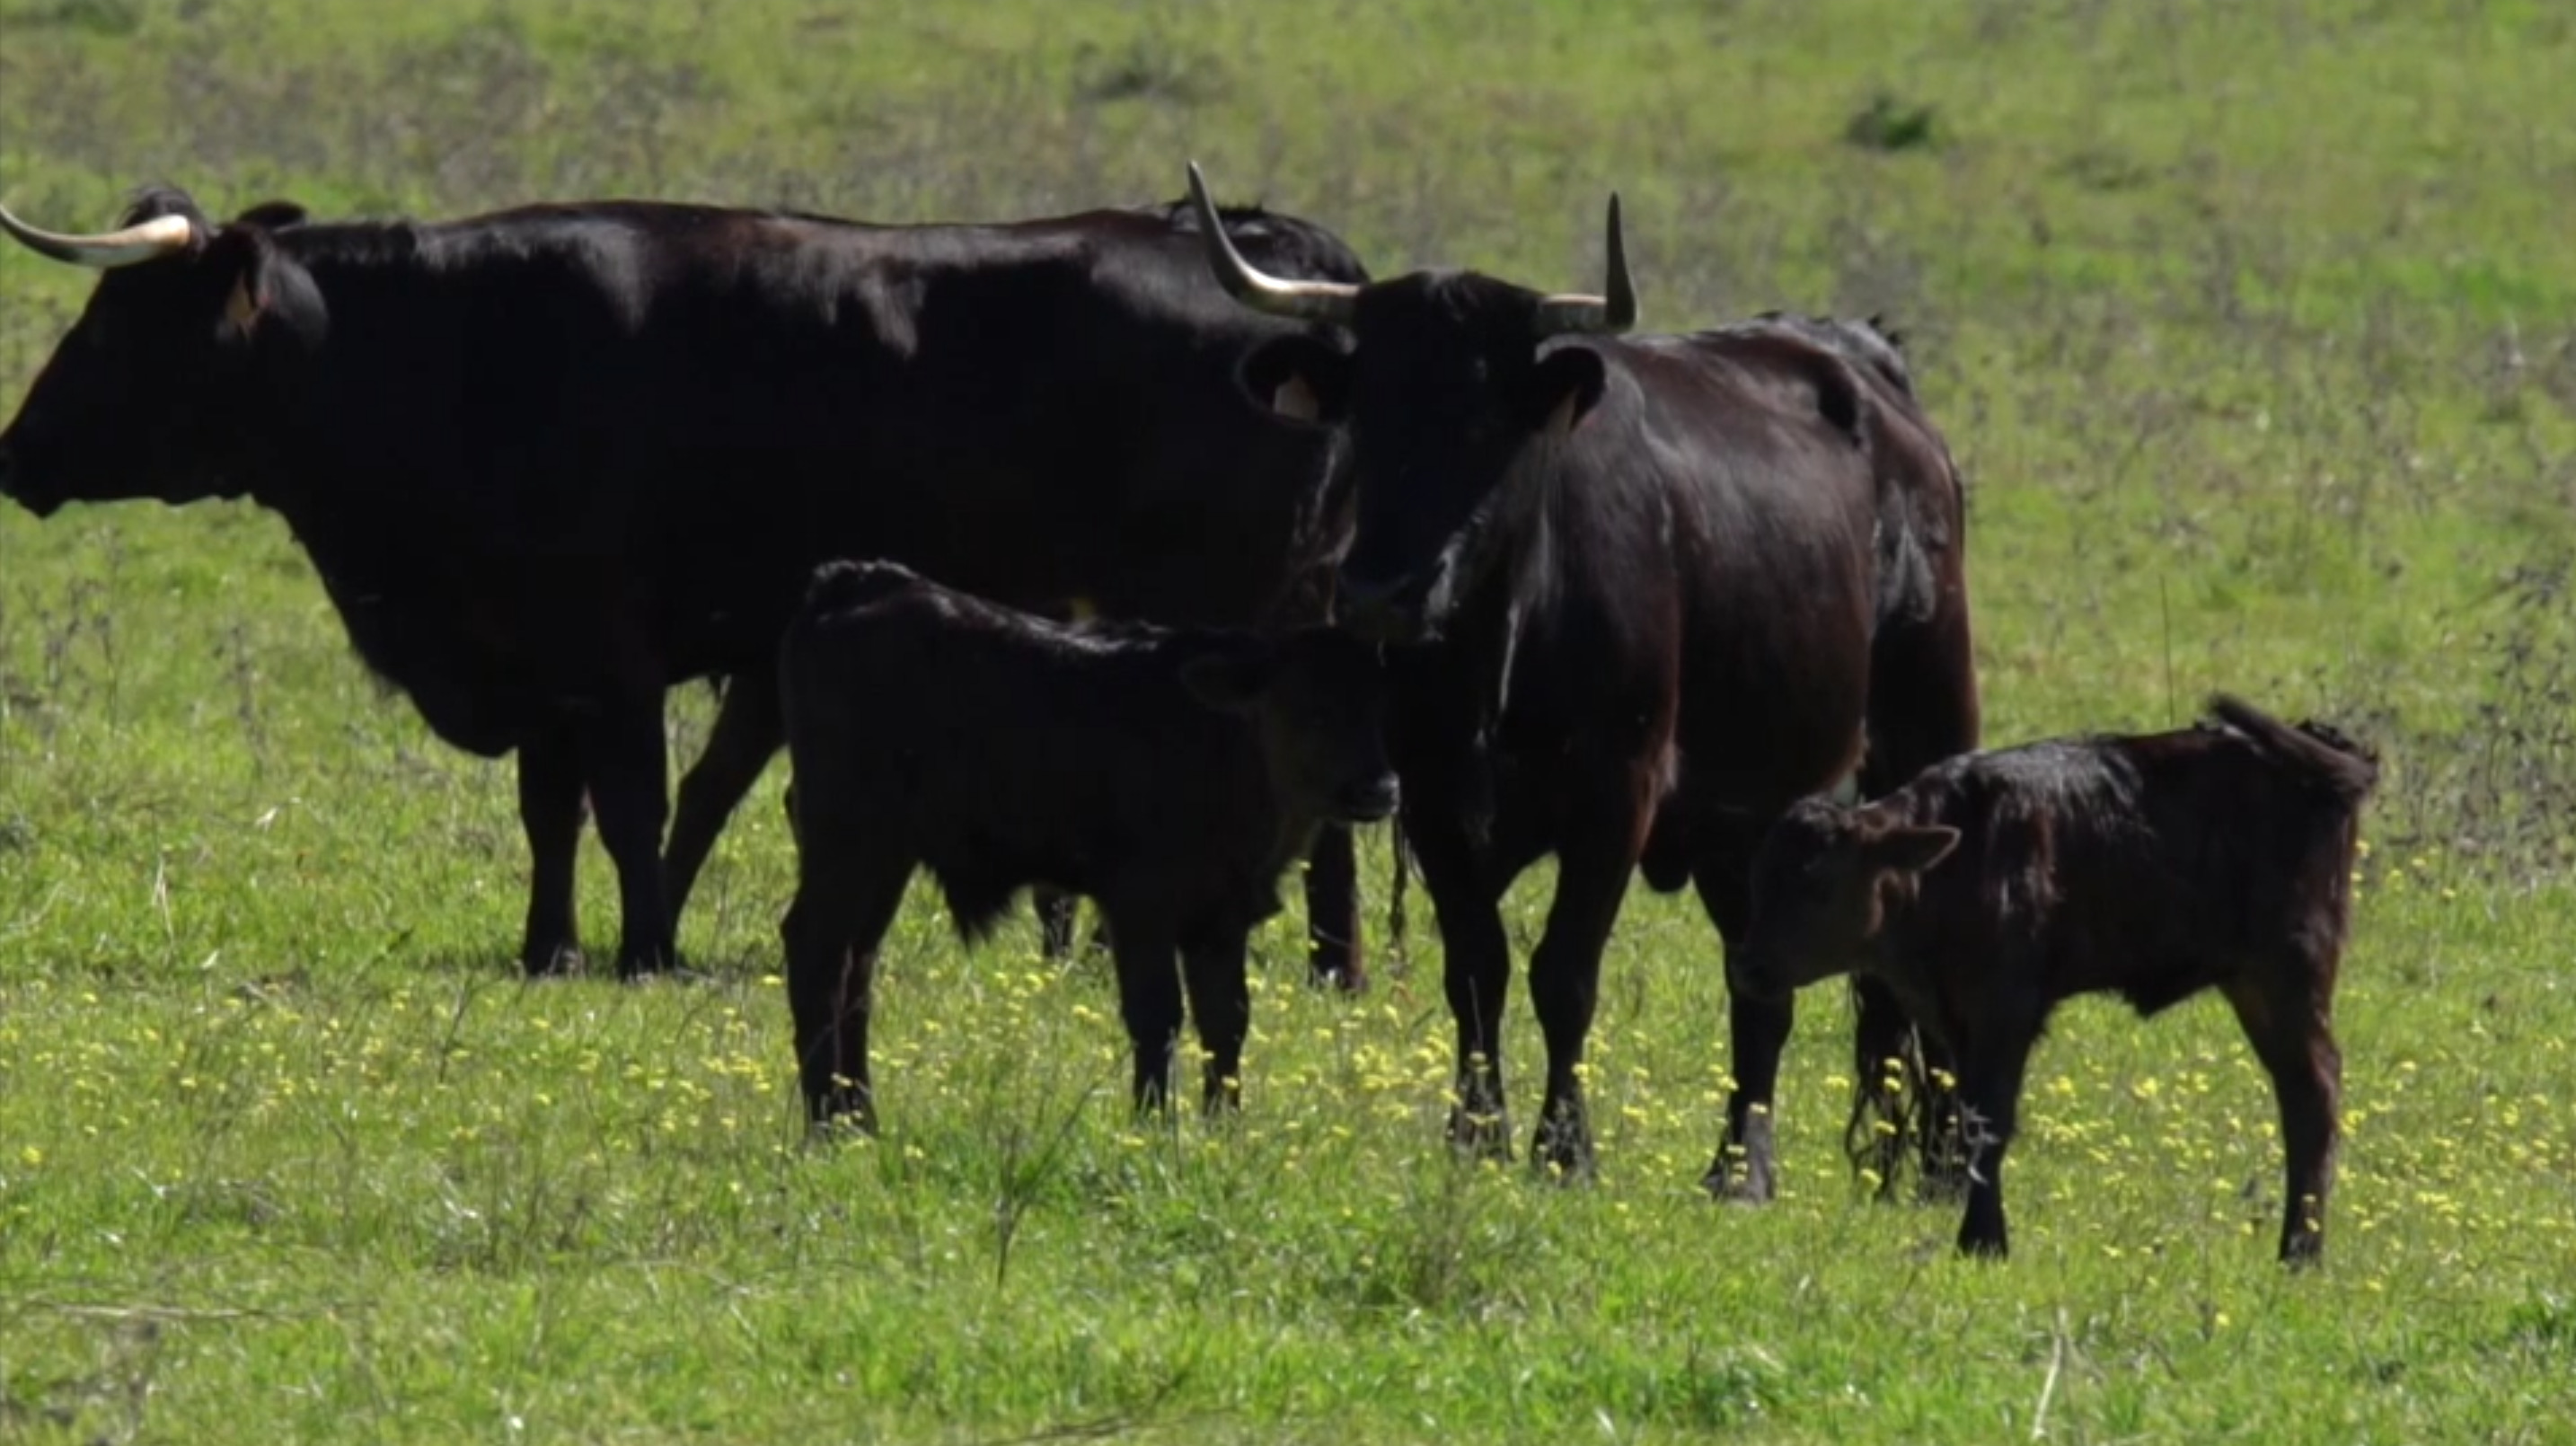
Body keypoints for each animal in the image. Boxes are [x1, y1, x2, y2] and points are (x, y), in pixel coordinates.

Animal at [4, 189, 1370, 979]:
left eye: (119, 325)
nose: (17, 449)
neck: (457, 350)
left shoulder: (605, 657)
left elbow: (629, 807)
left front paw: (642, 949)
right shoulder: (547, 663)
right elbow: (553, 814)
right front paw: (549, 947)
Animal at [772, 561, 1401, 1129]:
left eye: (1378, 709)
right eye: (1307, 709)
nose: (1379, 788)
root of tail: (859, 581)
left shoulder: (1219, 918)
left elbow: (1227, 1020)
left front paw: (1224, 1127)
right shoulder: (1140, 906)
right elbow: (1157, 1016)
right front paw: (1153, 1126)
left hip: (884, 858)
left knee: (857, 965)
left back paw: (860, 1119)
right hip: (847, 841)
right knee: (817, 950)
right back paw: (825, 1122)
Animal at [1179, 163, 1978, 1190]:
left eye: (1488, 422)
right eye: (1364, 412)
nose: (1381, 594)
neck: (1497, 654)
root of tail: (1864, 366)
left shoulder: (1616, 793)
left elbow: (1564, 973)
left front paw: (1564, 1149)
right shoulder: (1433, 800)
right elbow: (1475, 967)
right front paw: (1475, 1134)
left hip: (1925, 726)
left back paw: (1932, 1163)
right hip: (1744, 821)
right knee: (1759, 986)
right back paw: (1743, 1169)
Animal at [1731, 695, 2369, 1257]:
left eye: (1819, 885)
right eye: (1757, 879)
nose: (1747, 967)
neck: (1958, 862)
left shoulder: (2007, 1009)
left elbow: (1990, 1122)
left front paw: (1983, 1242)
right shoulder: (1953, 1018)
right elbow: (1969, 1115)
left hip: (2291, 969)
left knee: (2314, 1093)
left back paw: (2301, 1253)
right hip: (2257, 984)